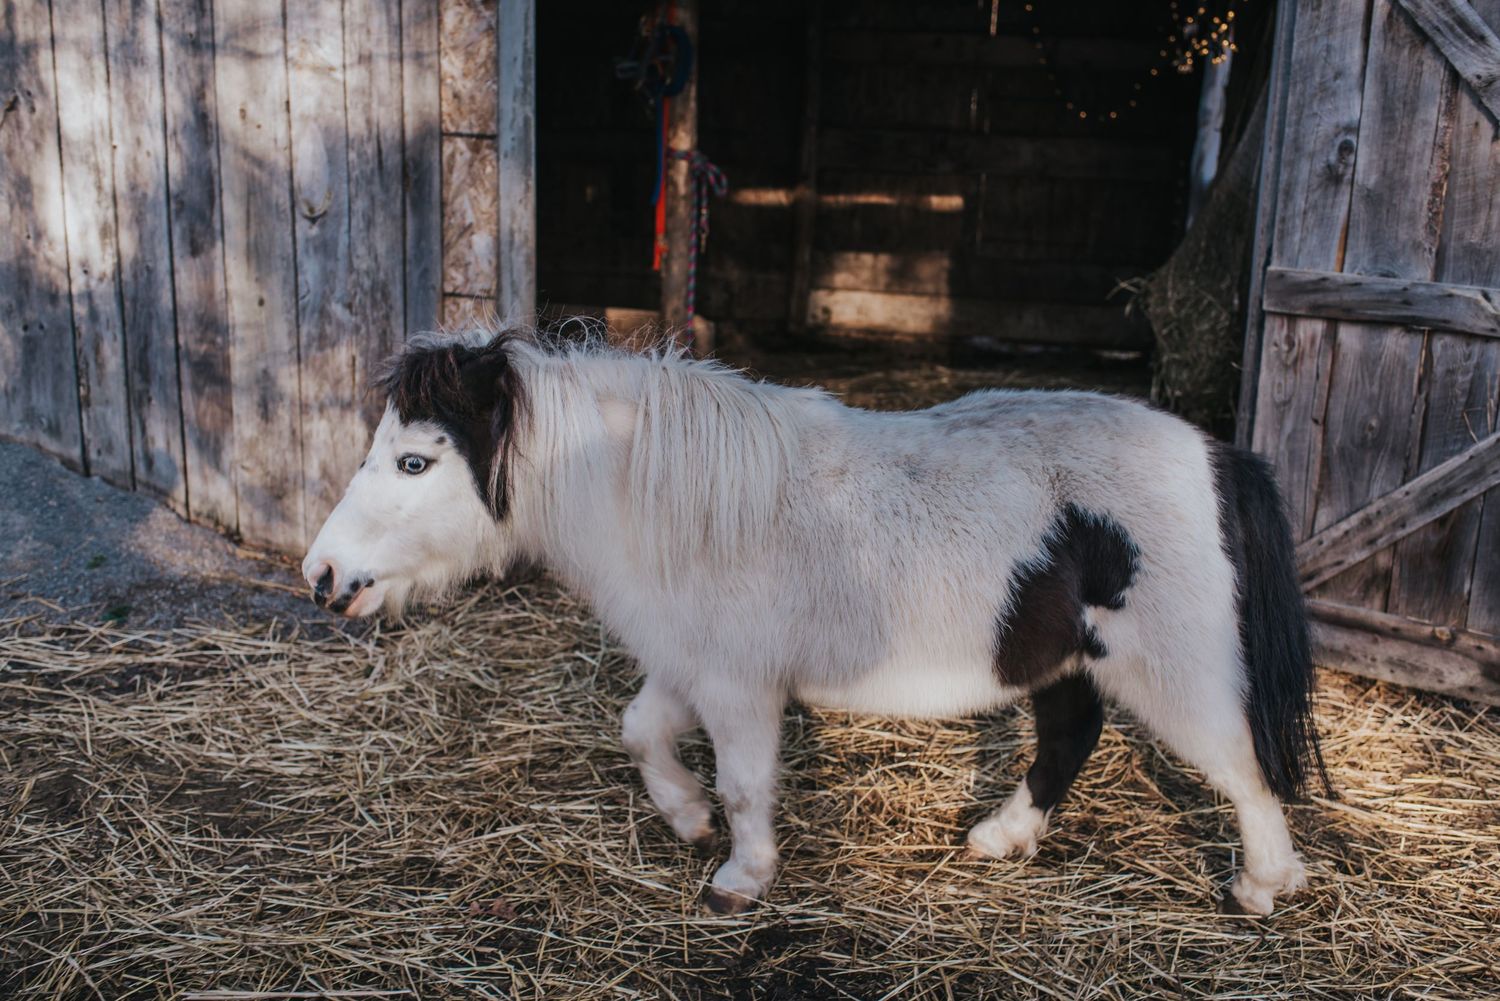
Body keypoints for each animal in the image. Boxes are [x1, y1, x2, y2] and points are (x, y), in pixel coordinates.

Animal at [302, 328, 1325, 916]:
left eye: (415, 462)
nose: (322, 576)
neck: (671, 501)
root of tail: (1217, 455)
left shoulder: (737, 685)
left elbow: (749, 784)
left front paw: (742, 876)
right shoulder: (693, 666)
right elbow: (640, 731)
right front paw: (686, 817)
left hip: (1173, 672)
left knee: (1242, 768)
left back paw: (1263, 886)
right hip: (1070, 662)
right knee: (1069, 737)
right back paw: (1001, 838)